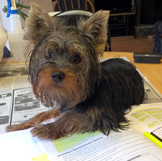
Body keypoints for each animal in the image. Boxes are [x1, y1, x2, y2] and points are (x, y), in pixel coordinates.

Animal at [7, 3, 144, 140]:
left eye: (77, 58)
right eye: (48, 54)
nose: (57, 75)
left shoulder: (104, 116)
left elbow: (70, 116)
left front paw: (47, 128)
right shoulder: (66, 101)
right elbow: (46, 112)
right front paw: (21, 124)